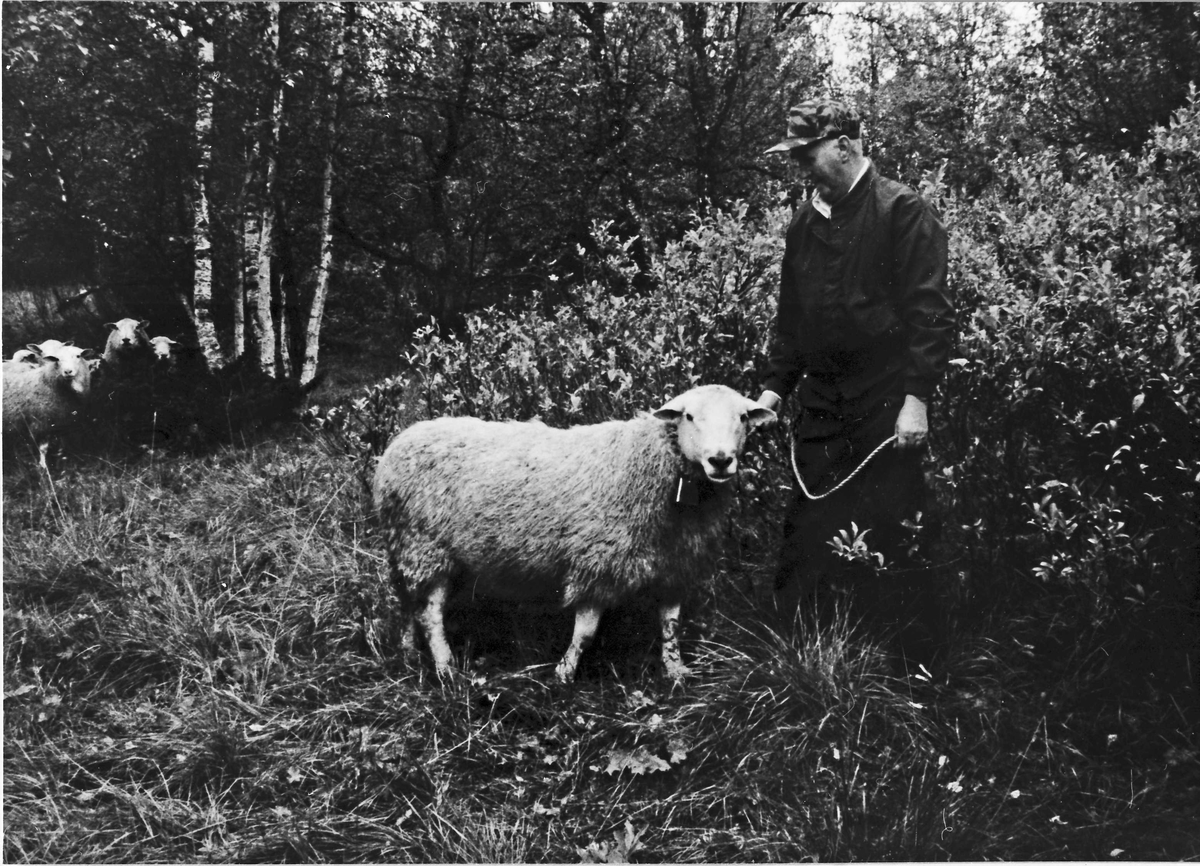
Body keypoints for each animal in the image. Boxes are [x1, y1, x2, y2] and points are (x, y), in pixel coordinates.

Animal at [369, 383, 777, 681]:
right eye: (690, 416)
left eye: (743, 416)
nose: (721, 460)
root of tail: (398, 442)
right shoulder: (597, 562)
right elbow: (585, 633)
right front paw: (563, 675)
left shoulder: (676, 565)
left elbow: (671, 626)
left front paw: (676, 670)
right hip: (423, 546)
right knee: (430, 615)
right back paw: (445, 669)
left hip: (416, 552)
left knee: (413, 607)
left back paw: (409, 653)